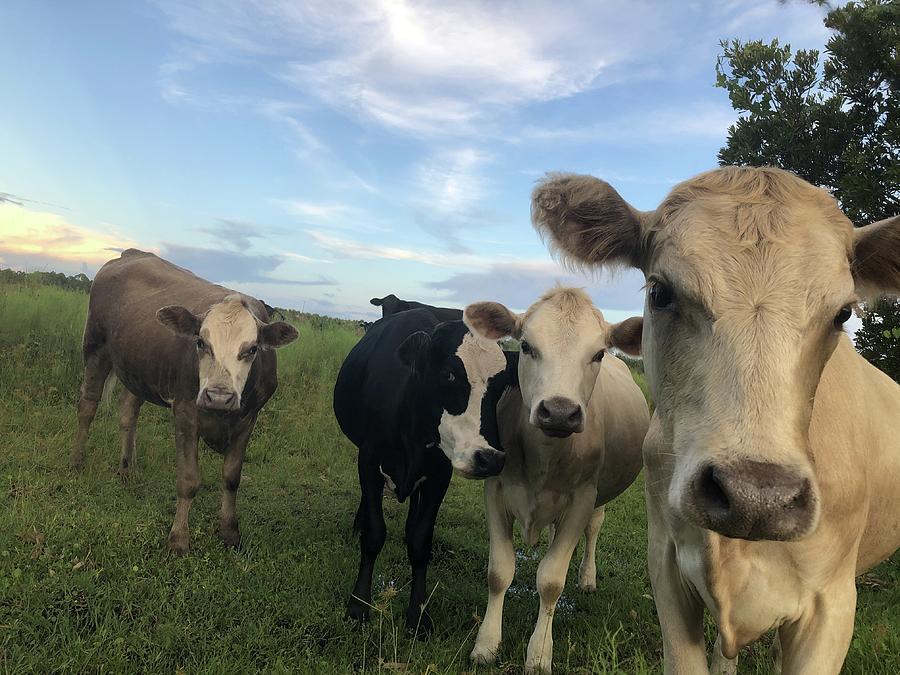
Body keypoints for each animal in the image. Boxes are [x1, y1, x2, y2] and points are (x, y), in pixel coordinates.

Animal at [71, 248, 296, 556]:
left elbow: (231, 477)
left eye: (251, 349)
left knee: (128, 414)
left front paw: (230, 532)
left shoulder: (249, 417)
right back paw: (77, 461)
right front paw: (178, 538)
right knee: (88, 407)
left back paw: (127, 470)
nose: (219, 396)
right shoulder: (186, 412)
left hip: (137, 369)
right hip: (95, 348)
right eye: (201, 342)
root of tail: (130, 253)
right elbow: (189, 480)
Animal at [332, 308, 516, 636]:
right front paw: (358, 606)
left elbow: (419, 540)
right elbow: (374, 533)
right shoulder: (369, 460)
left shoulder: (439, 476)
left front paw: (417, 615)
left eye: (502, 385)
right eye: (449, 374)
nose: (490, 458)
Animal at [468, 288, 652, 672]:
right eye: (525, 346)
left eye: (598, 353)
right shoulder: (495, 489)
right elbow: (499, 572)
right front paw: (486, 644)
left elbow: (551, 580)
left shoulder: (583, 497)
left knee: (594, 528)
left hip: (598, 497)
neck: (544, 458)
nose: (559, 411)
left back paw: (587, 577)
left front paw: (539, 653)